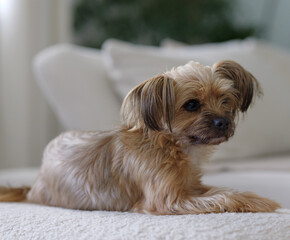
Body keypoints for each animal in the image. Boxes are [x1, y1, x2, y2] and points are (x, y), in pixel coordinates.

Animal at [0, 61, 280, 215]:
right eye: (191, 104)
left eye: (225, 100)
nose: (224, 122)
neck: (173, 144)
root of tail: (34, 185)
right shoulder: (168, 200)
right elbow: (224, 196)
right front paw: (261, 201)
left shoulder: (191, 187)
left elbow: (221, 190)